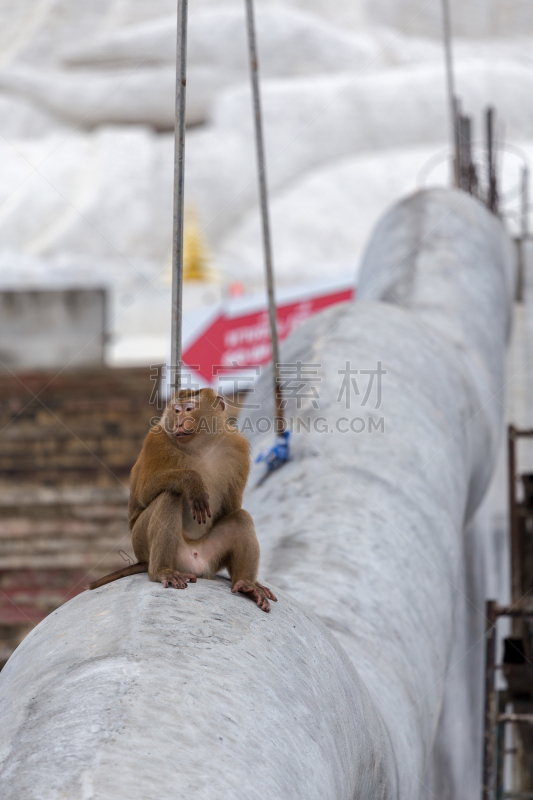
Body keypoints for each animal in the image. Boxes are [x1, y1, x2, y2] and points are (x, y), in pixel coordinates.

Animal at [88, 388, 276, 612]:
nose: (178, 423)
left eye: (189, 409)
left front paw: (253, 584)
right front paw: (192, 481)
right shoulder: (155, 440)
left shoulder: (236, 447)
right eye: (176, 410)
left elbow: (232, 508)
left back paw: (247, 585)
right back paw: (162, 571)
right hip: (143, 542)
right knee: (169, 496)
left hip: (208, 557)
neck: (201, 444)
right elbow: (143, 492)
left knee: (241, 517)